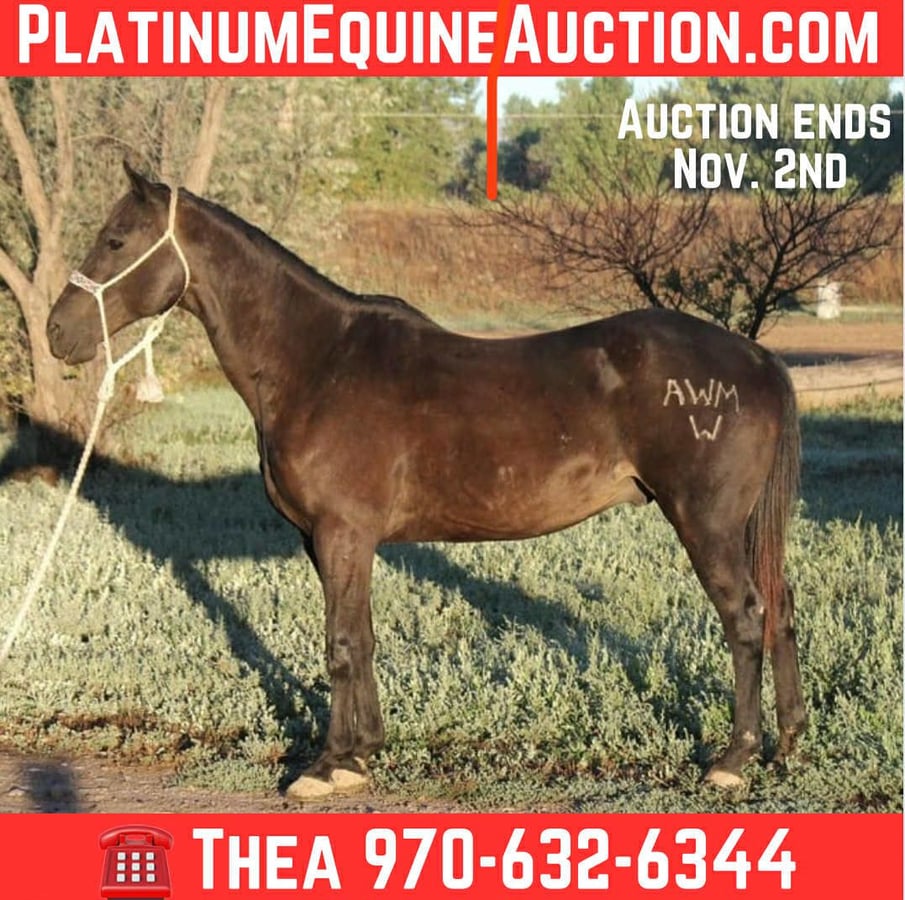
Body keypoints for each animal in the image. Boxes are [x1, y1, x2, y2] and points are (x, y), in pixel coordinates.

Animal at [46, 163, 806, 800]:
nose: (57, 332)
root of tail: (755, 356)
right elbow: (360, 636)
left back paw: (733, 759)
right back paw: (786, 741)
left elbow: (340, 645)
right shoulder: (329, 541)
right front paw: (359, 756)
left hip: (704, 521)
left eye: (115, 240)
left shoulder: (341, 532)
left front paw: (324, 768)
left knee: (745, 615)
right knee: (780, 605)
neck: (317, 361)